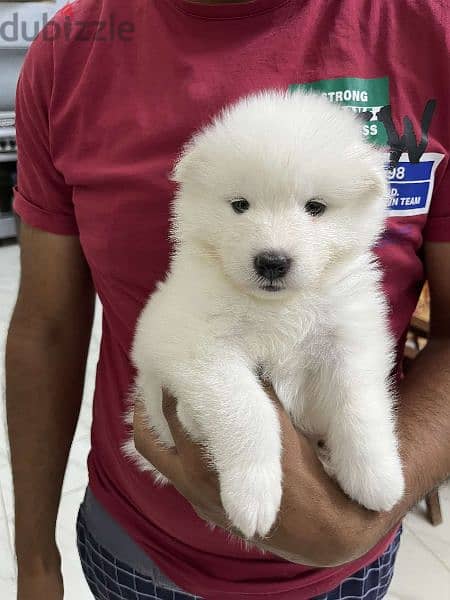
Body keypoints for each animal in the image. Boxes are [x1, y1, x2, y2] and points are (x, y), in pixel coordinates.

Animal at [125, 89, 404, 540]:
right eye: (240, 205)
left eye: (315, 207)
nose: (272, 262)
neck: (278, 308)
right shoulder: (202, 346)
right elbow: (248, 409)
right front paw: (253, 497)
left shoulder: (350, 337)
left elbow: (360, 404)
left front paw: (377, 477)